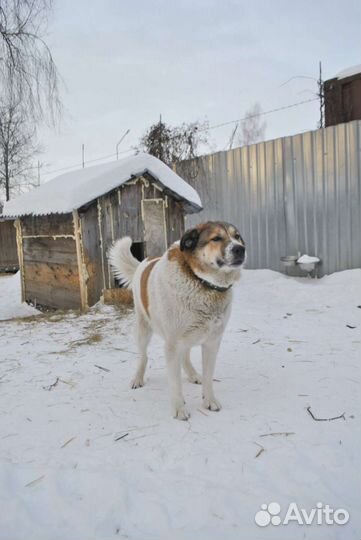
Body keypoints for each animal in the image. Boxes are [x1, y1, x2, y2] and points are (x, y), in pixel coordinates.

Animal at [109, 221, 245, 420]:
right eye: (216, 238)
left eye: (237, 237)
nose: (240, 249)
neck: (201, 282)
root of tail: (144, 262)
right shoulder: (172, 345)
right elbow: (175, 383)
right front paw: (179, 409)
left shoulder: (212, 342)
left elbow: (208, 378)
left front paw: (209, 400)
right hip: (143, 329)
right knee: (143, 356)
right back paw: (138, 378)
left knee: (185, 356)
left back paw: (193, 374)